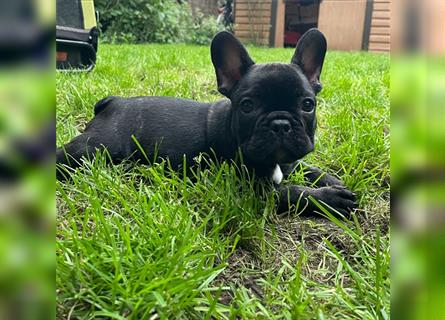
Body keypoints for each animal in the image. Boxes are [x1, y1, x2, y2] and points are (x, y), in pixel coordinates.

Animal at [57, 28, 356, 216]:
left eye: (308, 104)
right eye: (247, 106)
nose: (280, 123)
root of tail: (113, 101)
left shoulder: (290, 160)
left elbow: (307, 167)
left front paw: (332, 180)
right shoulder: (251, 190)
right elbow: (292, 192)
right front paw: (329, 198)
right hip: (96, 147)